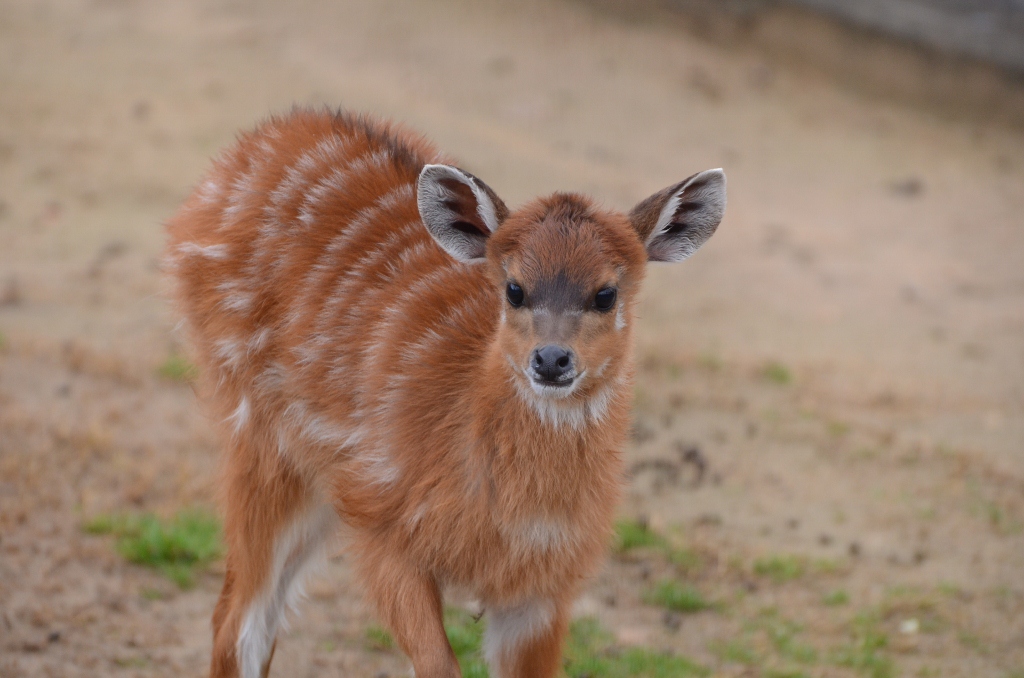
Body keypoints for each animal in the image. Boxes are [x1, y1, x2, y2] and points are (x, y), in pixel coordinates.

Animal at [163, 110, 724, 678]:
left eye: (606, 294)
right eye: (514, 288)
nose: (550, 359)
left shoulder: (541, 589)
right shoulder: (382, 524)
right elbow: (437, 664)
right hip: (264, 437)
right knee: (239, 619)